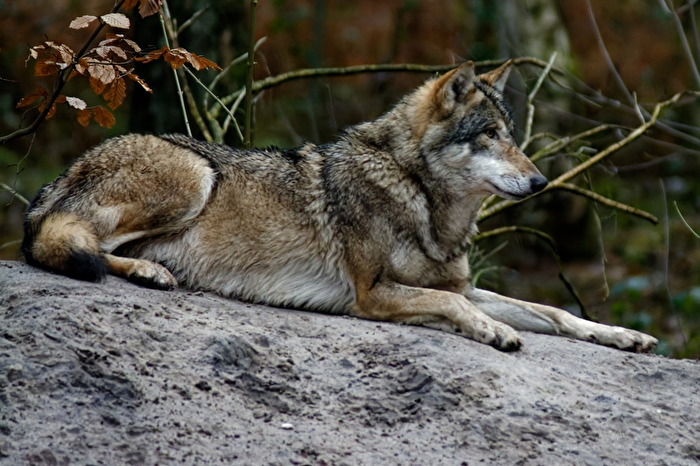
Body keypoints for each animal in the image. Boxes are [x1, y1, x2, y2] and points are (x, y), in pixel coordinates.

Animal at [22, 61, 657, 352]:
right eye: (490, 134)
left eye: (515, 136)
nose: (542, 180)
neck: (425, 204)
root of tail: (52, 184)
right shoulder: (372, 293)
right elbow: (451, 306)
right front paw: (494, 332)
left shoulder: (463, 285)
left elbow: (553, 311)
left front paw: (622, 334)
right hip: (195, 175)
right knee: (66, 245)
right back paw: (150, 271)